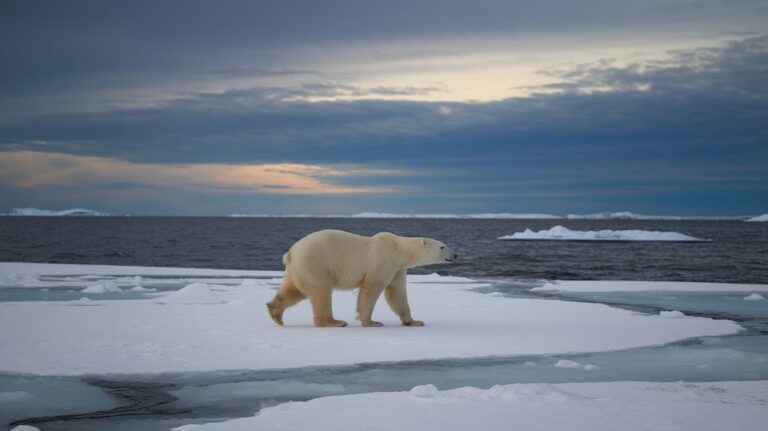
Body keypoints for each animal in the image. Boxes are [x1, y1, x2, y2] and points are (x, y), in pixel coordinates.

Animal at [267, 229, 458, 327]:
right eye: (442, 246)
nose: (455, 254)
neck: (400, 248)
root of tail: (291, 252)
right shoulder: (384, 259)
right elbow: (372, 288)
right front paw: (372, 322)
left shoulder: (398, 268)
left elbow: (397, 292)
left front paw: (414, 321)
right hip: (315, 263)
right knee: (321, 292)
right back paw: (334, 322)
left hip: (298, 269)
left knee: (293, 290)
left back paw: (275, 313)